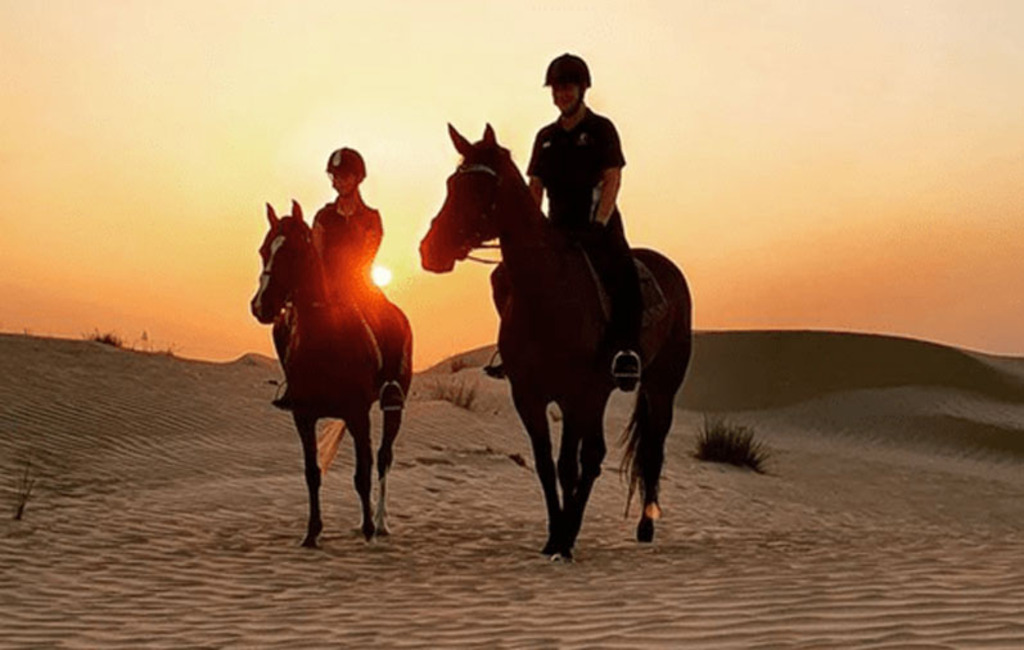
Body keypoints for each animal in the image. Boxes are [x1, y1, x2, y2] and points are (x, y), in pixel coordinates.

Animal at [250, 200, 411, 548]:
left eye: (293, 251)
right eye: (263, 250)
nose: (260, 307)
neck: (324, 338)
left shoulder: (357, 414)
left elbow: (363, 472)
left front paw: (368, 531)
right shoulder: (304, 417)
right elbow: (312, 473)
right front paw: (312, 533)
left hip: (393, 405)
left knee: (384, 456)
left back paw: (380, 522)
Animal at [419, 125, 692, 560]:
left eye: (480, 188)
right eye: (451, 184)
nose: (431, 250)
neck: (547, 291)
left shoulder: (575, 393)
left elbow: (569, 465)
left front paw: (565, 539)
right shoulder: (530, 395)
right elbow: (547, 464)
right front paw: (554, 536)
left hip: (657, 386)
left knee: (646, 450)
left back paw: (644, 527)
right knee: (598, 454)